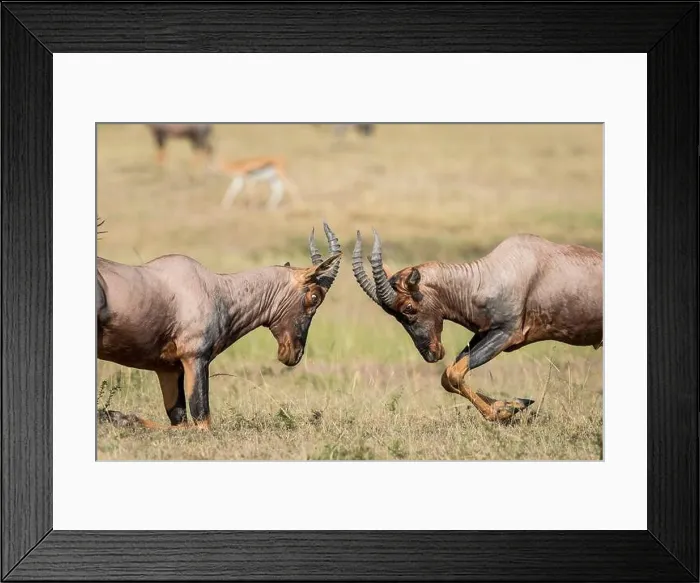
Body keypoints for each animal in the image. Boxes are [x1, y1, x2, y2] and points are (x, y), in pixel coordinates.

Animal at [97, 222, 342, 430]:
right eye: (314, 296)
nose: (294, 354)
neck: (216, 288)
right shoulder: (195, 358)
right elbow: (201, 420)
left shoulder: (167, 369)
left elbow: (179, 421)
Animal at [352, 230, 603, 423]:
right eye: (392, 314)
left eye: (408, 308)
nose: (431, 353)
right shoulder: (482, 333)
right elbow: (449, 375)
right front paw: (513, 405)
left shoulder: (506, 334)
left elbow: (453, 373)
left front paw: (505, 411)